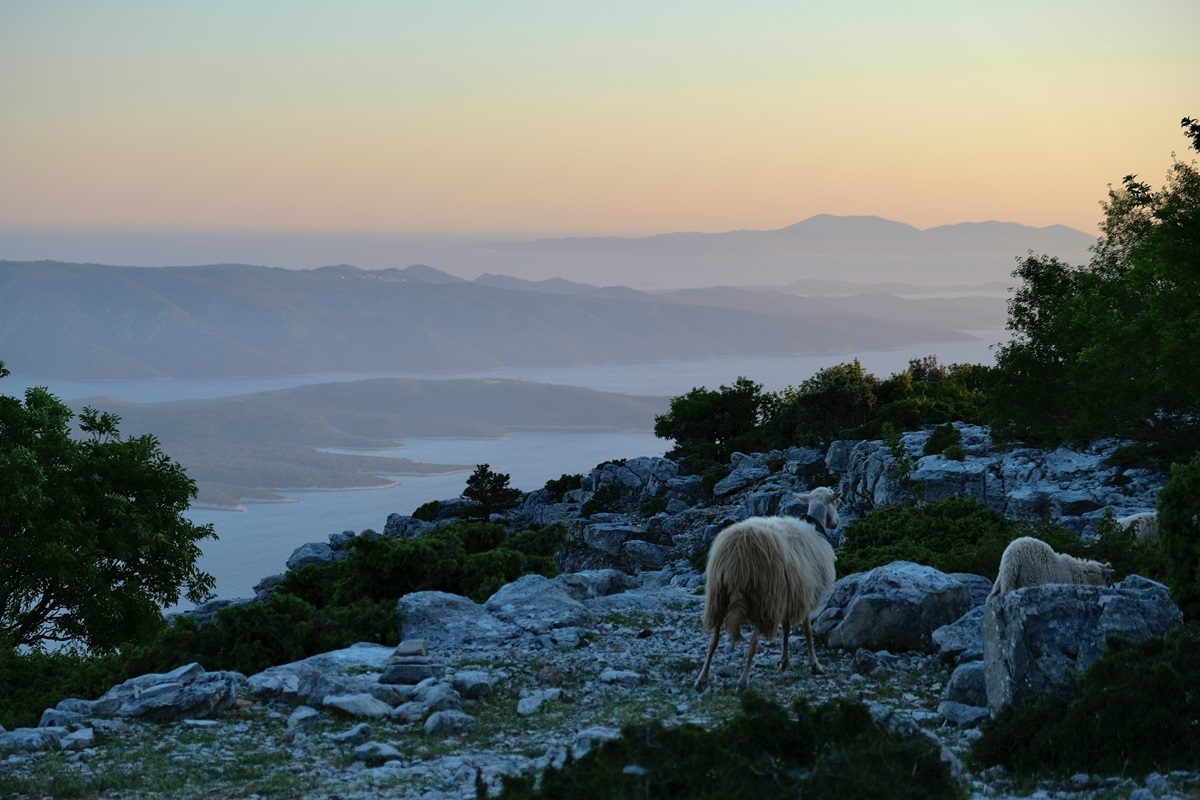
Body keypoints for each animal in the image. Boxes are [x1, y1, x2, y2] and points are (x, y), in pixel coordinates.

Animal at [691, 484, 840, 690]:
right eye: (835, 501)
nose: (837, 522)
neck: (815, 526)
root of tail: (737, 553)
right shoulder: (805, 593)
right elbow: (807, 631)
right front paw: (814, 664)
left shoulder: (789, 593)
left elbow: (786, 628)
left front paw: (785, 661)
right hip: (763, 597)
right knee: (753, 643)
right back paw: (743, 681)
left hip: (719, 595)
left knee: (714, 639)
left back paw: (702, 678)